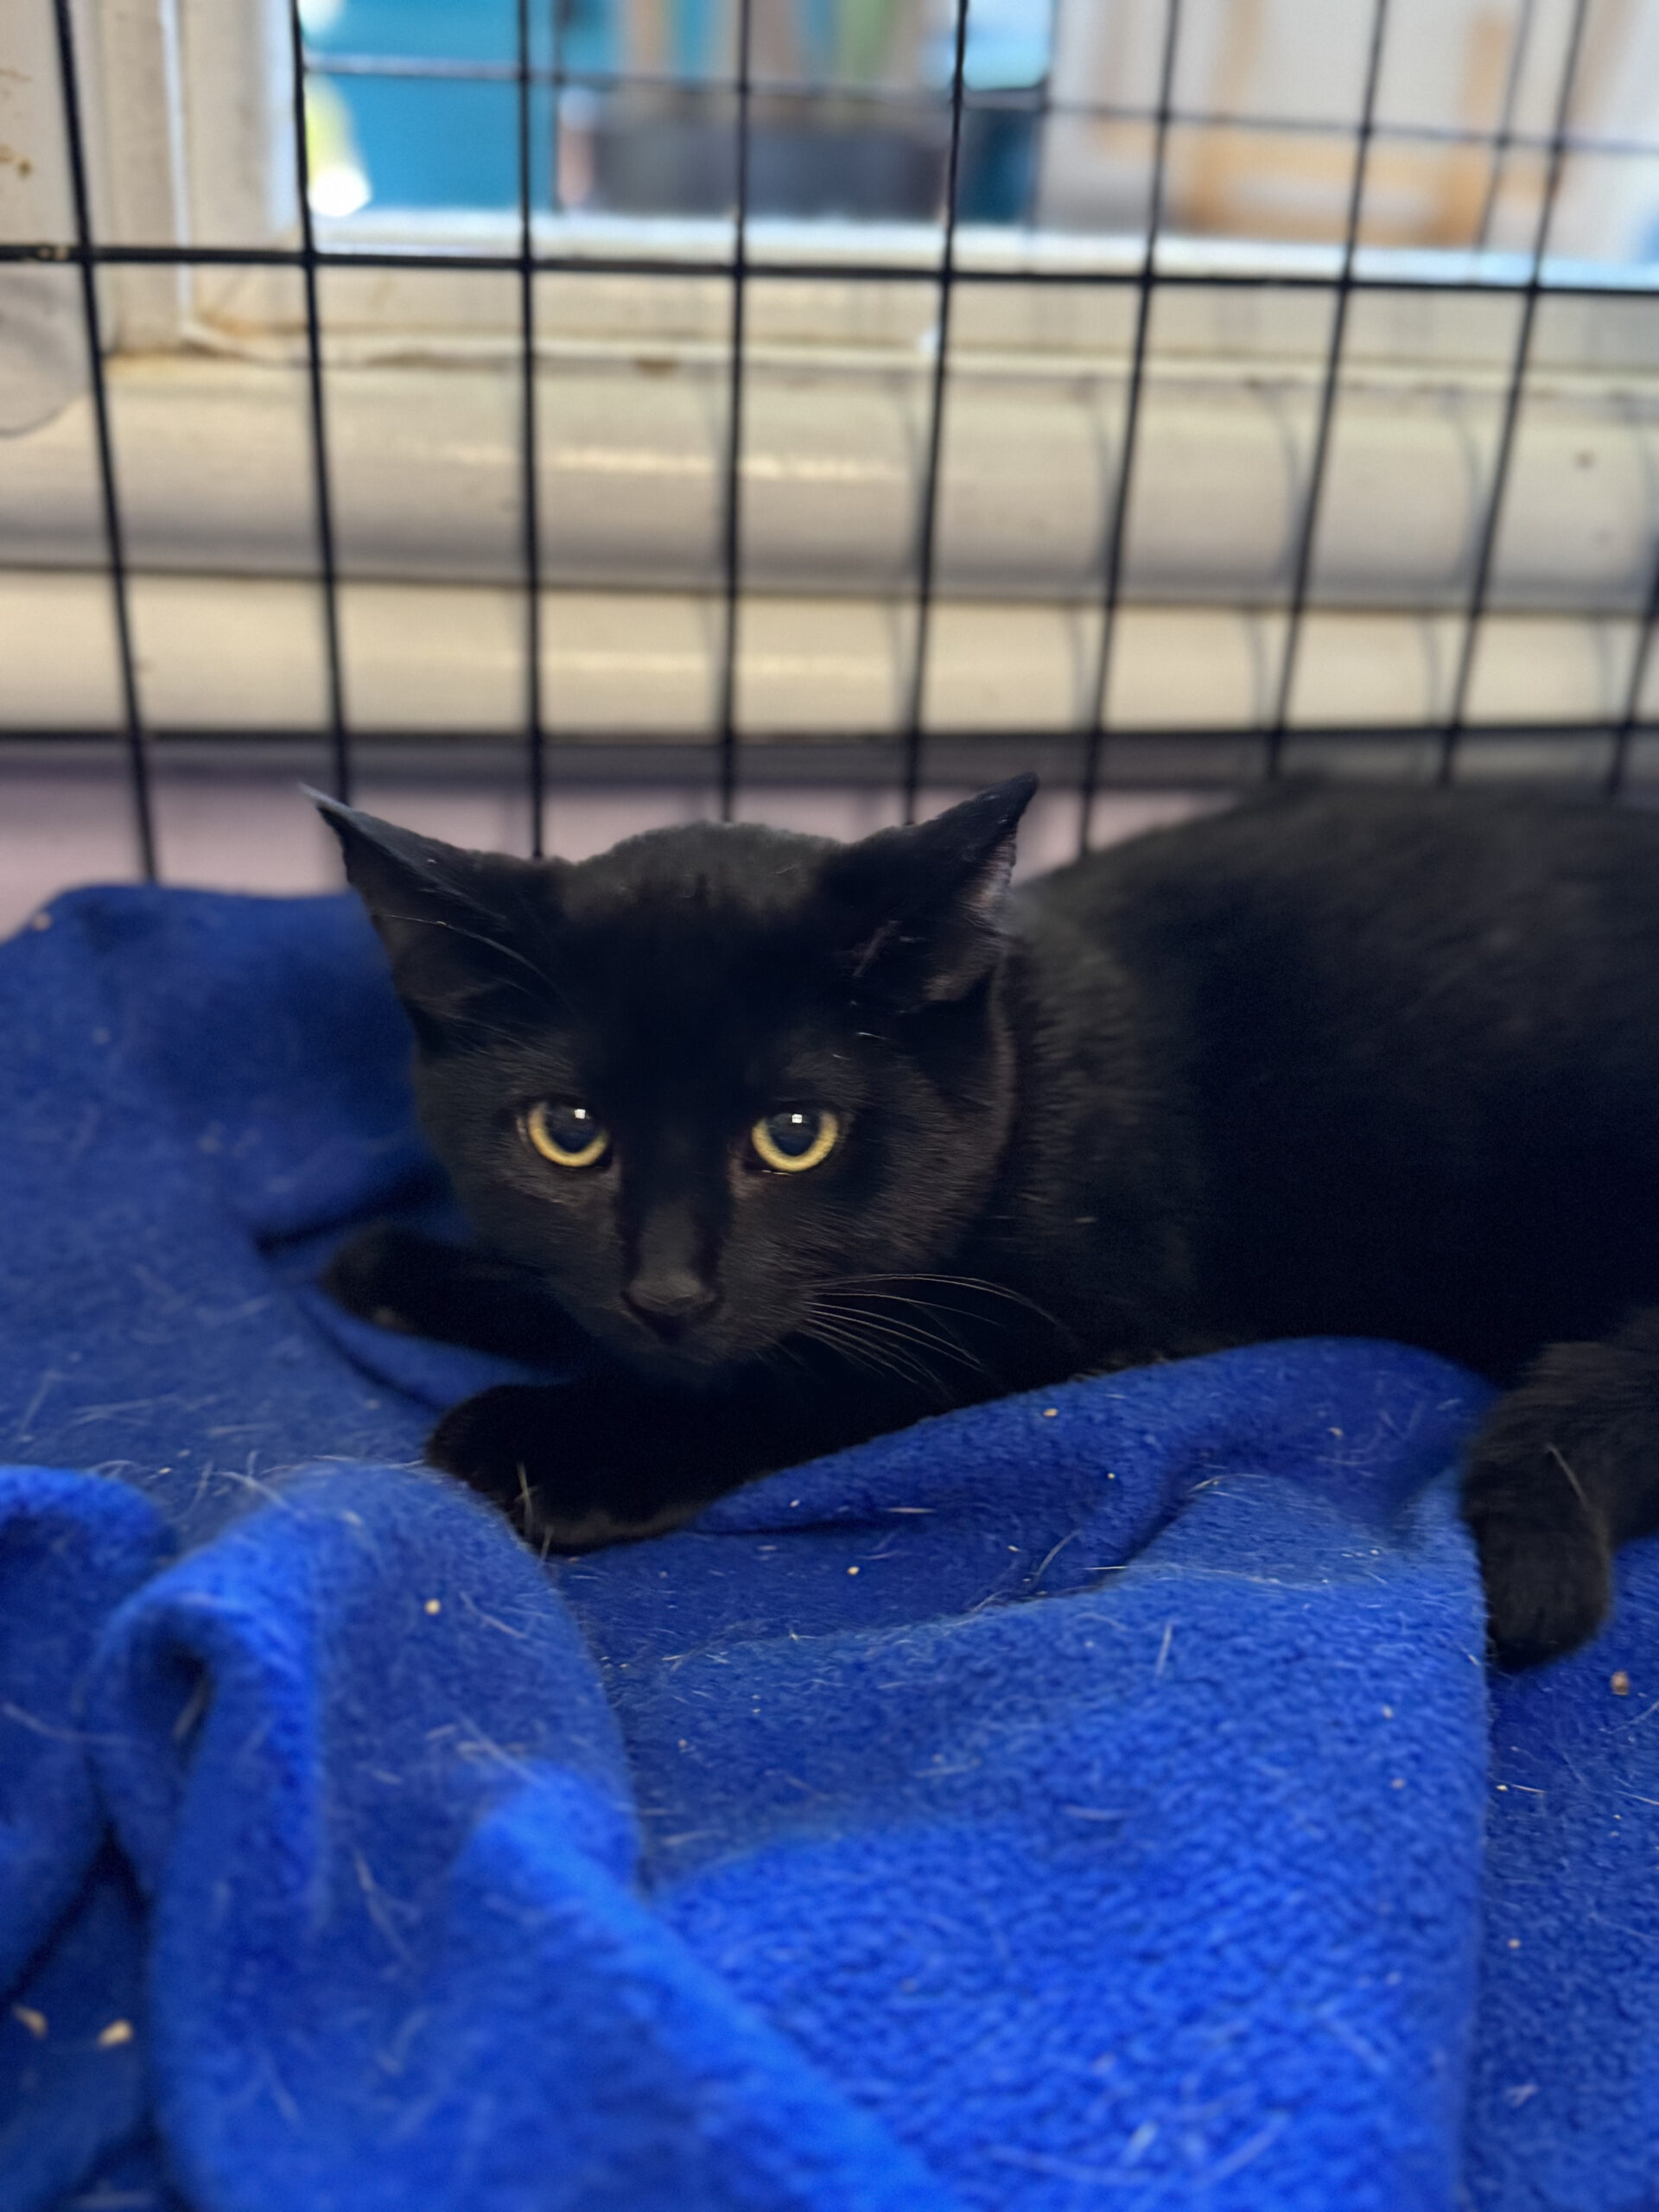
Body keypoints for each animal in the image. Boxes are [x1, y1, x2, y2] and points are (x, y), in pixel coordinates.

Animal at [316, 776, 1659, 1669]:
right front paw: (413, 1270)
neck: (1032, 1068)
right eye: (569, 1131)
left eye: (795, 1134)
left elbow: (803, 1382)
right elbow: (582, 1306)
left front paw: (558, 1444)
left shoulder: (1070, 1327)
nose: (670, 1289)